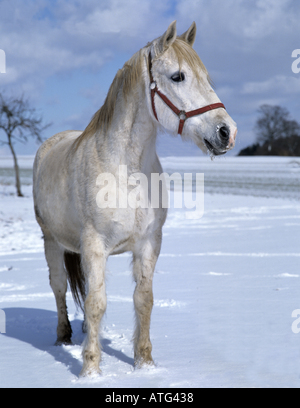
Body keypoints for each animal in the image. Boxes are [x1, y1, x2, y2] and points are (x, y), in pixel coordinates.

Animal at [32, 19, 238, 376]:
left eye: (206, 77)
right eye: (178, 76)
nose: (227, 132)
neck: (125, 170)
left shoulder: (148, 243)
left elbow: (143, 300)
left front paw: (145, 363)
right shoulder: (94, 245)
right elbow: (97, 302)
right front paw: (90, 370)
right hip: (51, 241)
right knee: (59, 286)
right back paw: (64, 337)